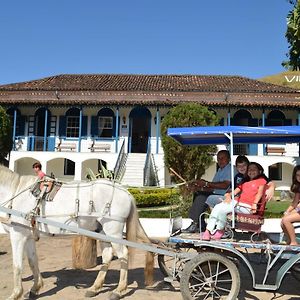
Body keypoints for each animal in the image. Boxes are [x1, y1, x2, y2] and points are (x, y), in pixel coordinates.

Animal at [0, 165, 155, 300]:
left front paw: (15, 294)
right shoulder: (28, 236)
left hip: (113, 230)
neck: (15, 192)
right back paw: (94, 288)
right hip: (102, 231)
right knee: (107, 255)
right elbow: (33, 262)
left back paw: (119, 290)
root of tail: (125, 191)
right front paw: (35, 288)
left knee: (123, 255)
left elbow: (17, 266)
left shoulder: (17, 235)